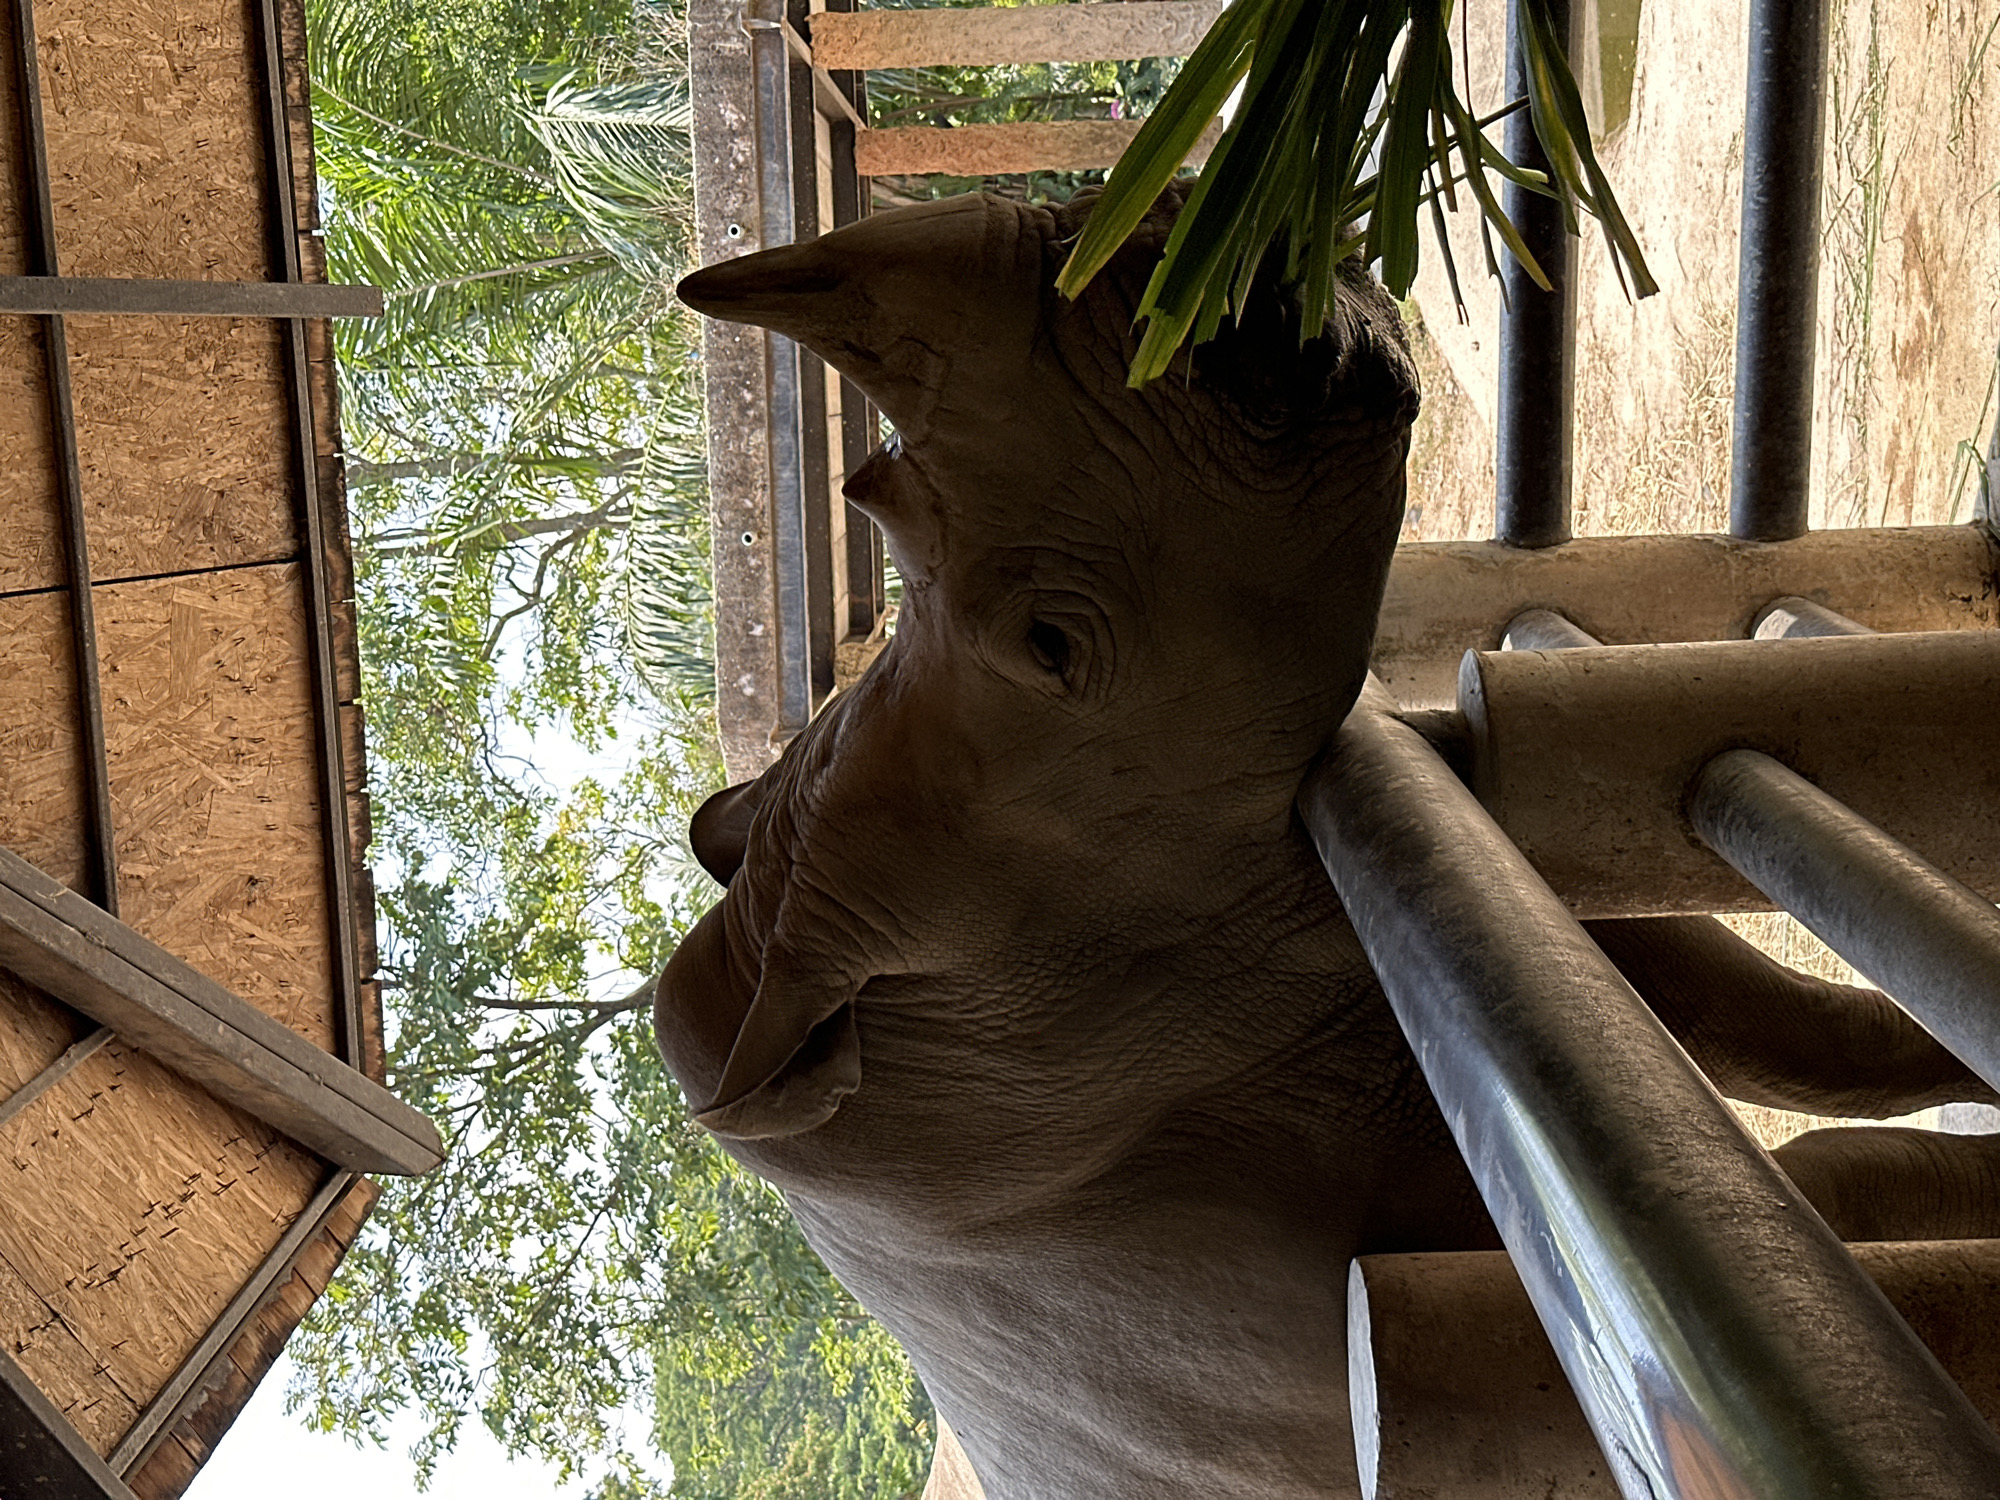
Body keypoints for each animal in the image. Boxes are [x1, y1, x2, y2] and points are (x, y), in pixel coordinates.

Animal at [659, 185, 1999, 1499]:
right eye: (1048, 643)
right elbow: (1814, 1171)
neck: (973, 1023)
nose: (1197, 262)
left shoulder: (1299, 908)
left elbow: (1783, 1021)